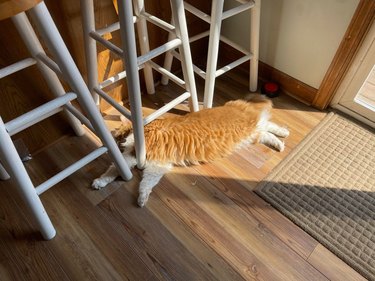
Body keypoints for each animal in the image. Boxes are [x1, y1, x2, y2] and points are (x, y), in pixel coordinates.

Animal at [92, 94, 290, 206]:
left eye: (120, 137)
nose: (119, 143)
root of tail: (236, 104)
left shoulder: (152, 161)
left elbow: (141, 182)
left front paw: (141, 199)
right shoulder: (149, 163)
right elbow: (119, 174)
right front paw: (101, 183)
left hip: (250, 128)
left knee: (268, 124)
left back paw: (284, 135)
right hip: (250, 136)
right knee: (266, 132)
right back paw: (280, 143)